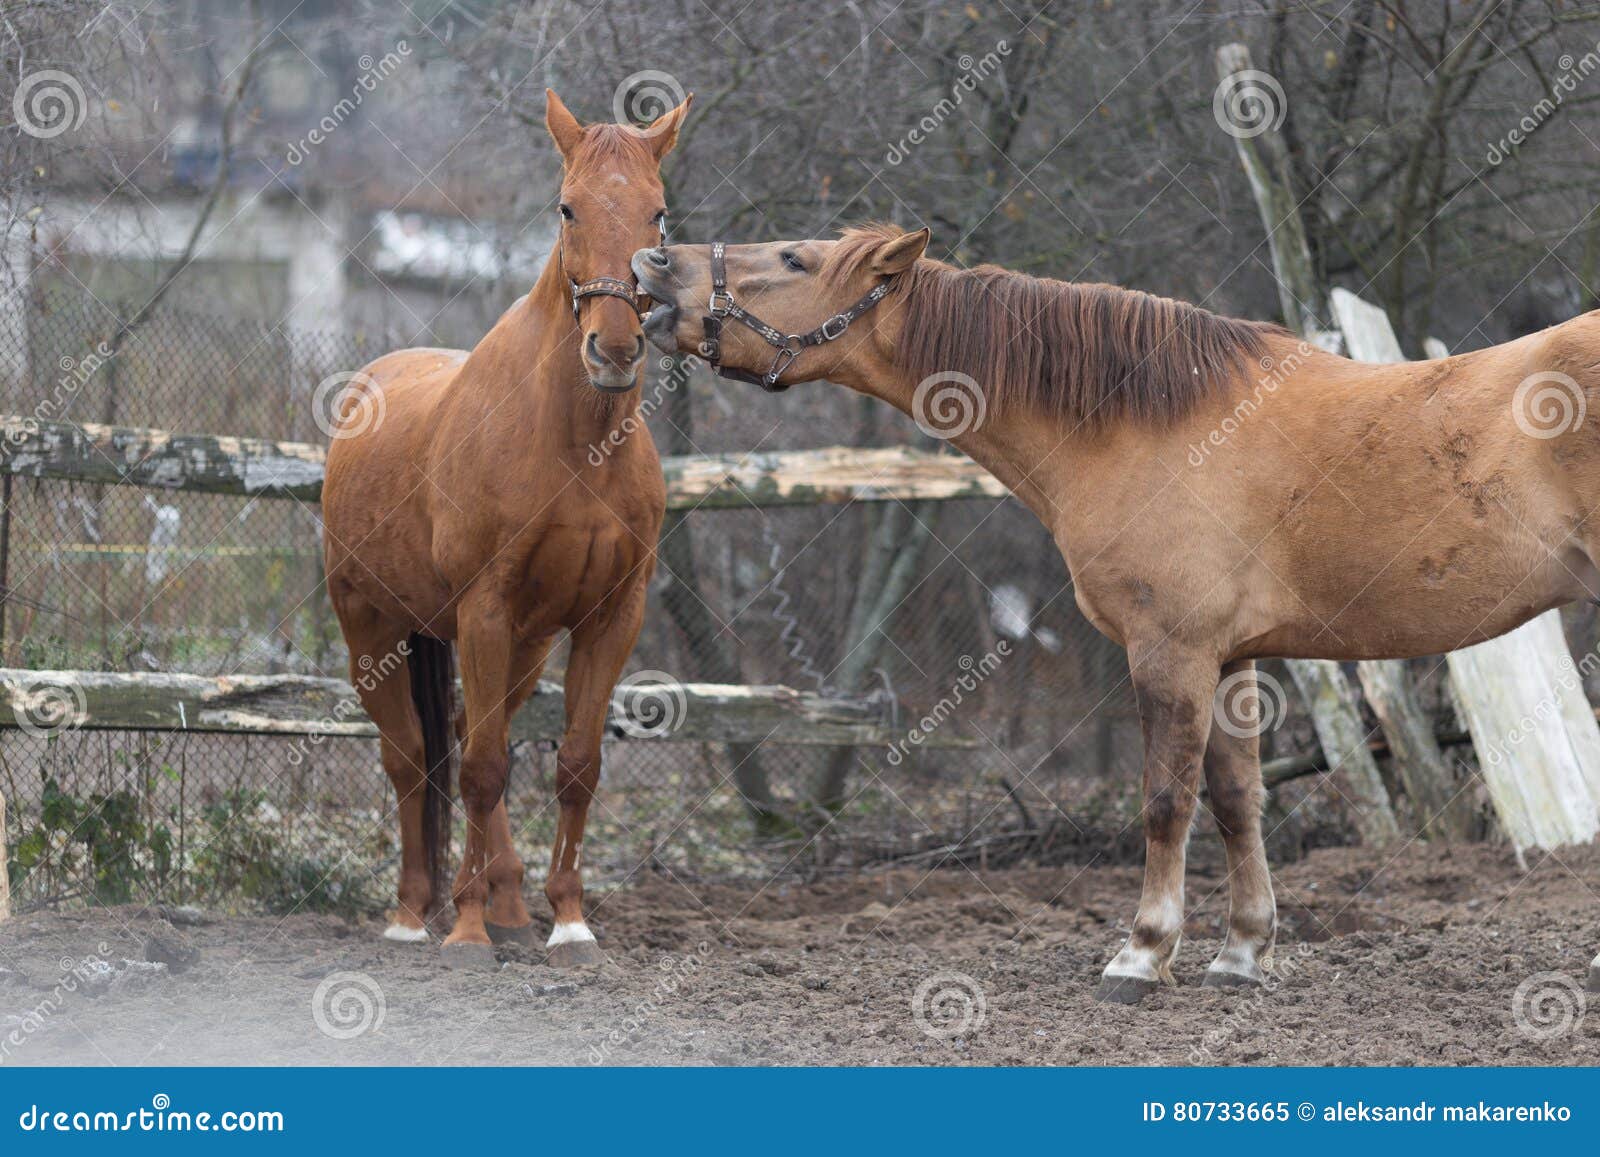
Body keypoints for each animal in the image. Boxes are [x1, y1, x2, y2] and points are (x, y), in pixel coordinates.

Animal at [320, 89, 690, 968]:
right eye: (567, 207)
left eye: (659, 214)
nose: (614, 348)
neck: (577, 441)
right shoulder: (482, 609)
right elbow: (482, 768)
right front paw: (463, 929)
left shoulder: (606, 619)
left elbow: (575, 766)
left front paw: (569, 921)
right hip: (371, 628)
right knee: (414, 760)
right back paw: (416, 909)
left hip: (521, 644)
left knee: (461, 735)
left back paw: (511, 902)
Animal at [632, 223, 1600, 1002]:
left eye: (794, 259)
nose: (654, 263)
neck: (1147, 420)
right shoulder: (1232, 657)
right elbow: (1237, 799)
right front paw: (1240, 954)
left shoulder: (1170, 651)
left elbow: (1165, 802)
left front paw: (1141, 955)